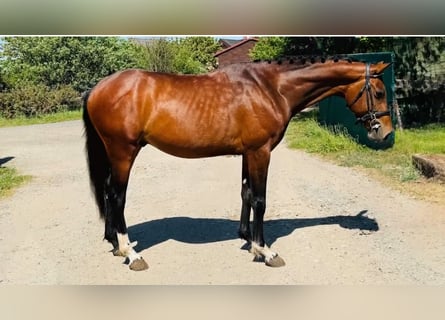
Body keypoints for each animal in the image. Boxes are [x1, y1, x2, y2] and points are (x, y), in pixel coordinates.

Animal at [83, 57, 392, 270]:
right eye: (379, 93)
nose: (385, 133)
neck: (273, 89)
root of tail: (98, 88)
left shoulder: (247, 153)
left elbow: (246, 193)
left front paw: (246, 237)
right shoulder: (260, 152)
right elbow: (260, 200)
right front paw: (265, 250)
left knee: (108, 193)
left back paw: (114, 242)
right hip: (123, 152)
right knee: (117, 196)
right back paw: (130, 252)